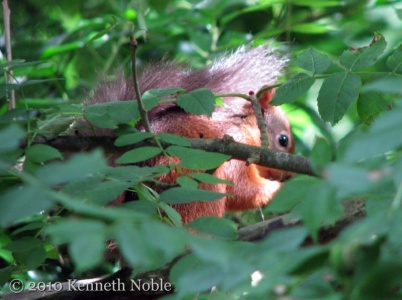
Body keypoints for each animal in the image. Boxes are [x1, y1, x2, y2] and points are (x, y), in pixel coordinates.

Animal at [77, 46, 294, 225]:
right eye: (283, 140)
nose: (287, 176)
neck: (240, 125)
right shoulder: (233, 150)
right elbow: (244, 191)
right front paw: (280, 189)